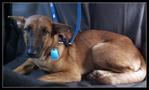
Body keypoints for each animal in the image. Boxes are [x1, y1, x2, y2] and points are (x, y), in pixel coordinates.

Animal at [8, 14, 147, 85]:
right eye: (27, 29)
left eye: (45, 32)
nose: (32, 53)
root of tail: (136, 50)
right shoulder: (30, 61)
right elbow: (16, 71)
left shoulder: (71, 73)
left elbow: (38, 79)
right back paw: (99, 73)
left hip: (97, 49)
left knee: (128, 72)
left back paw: (103, 75)